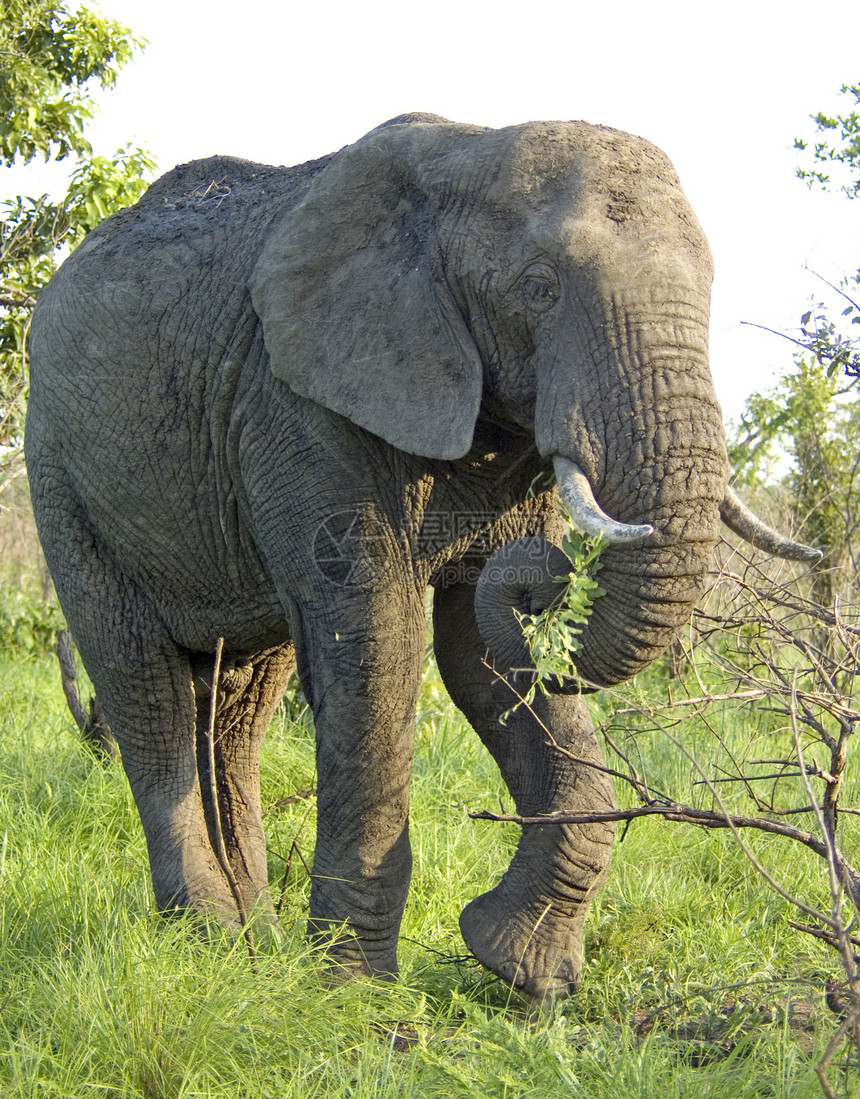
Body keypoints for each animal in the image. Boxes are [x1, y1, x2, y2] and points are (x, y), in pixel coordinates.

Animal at [23, 111, 817, 997]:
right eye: (539, 287)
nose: (547, 575)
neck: (467, 151)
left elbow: (478, 650)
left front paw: (523, 973)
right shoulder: (298, 404)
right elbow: (380, 643)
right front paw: (352, 993)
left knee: (237, 701)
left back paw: (252, 947)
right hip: (60, 468)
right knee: (145, 687)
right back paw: (210, 940)